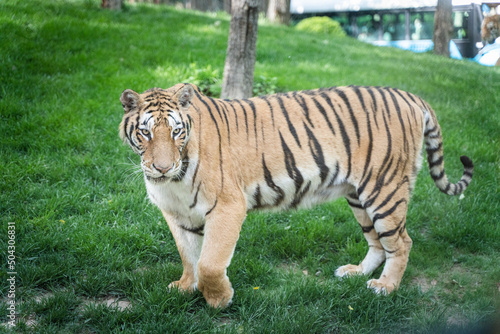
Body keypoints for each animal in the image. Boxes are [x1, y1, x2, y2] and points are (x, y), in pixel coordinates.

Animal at [118, 83, 472, 308]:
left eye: (176, 132)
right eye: (145, 133)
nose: (162, 167)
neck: (172, 182)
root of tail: (412, 97)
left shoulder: (227, 206)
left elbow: (210, 263)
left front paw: (219, 300)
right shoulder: (177, 213)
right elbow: (188, 255)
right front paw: (185, 288)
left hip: (384, 190)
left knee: (401, 242)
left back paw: (385, 287)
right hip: (358, 196)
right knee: (376, 241)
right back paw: (356, 273)